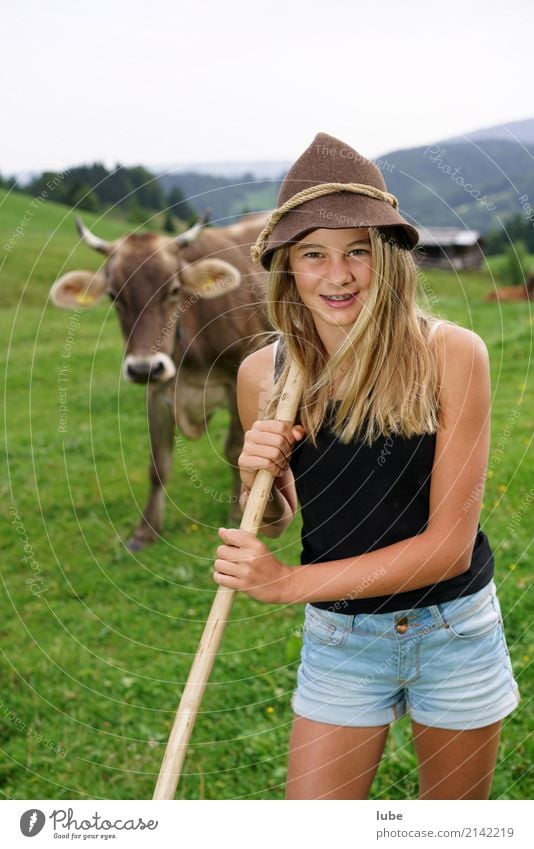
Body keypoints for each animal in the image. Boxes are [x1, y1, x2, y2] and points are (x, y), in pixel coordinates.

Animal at [49, 212, 272, 548]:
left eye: (174, 290)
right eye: (114, 295)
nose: (144, 367)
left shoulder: (238, 378)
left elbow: (235, 448)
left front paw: (236, 512)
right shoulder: (157, 389)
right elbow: (158, 463)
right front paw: (146, 529)